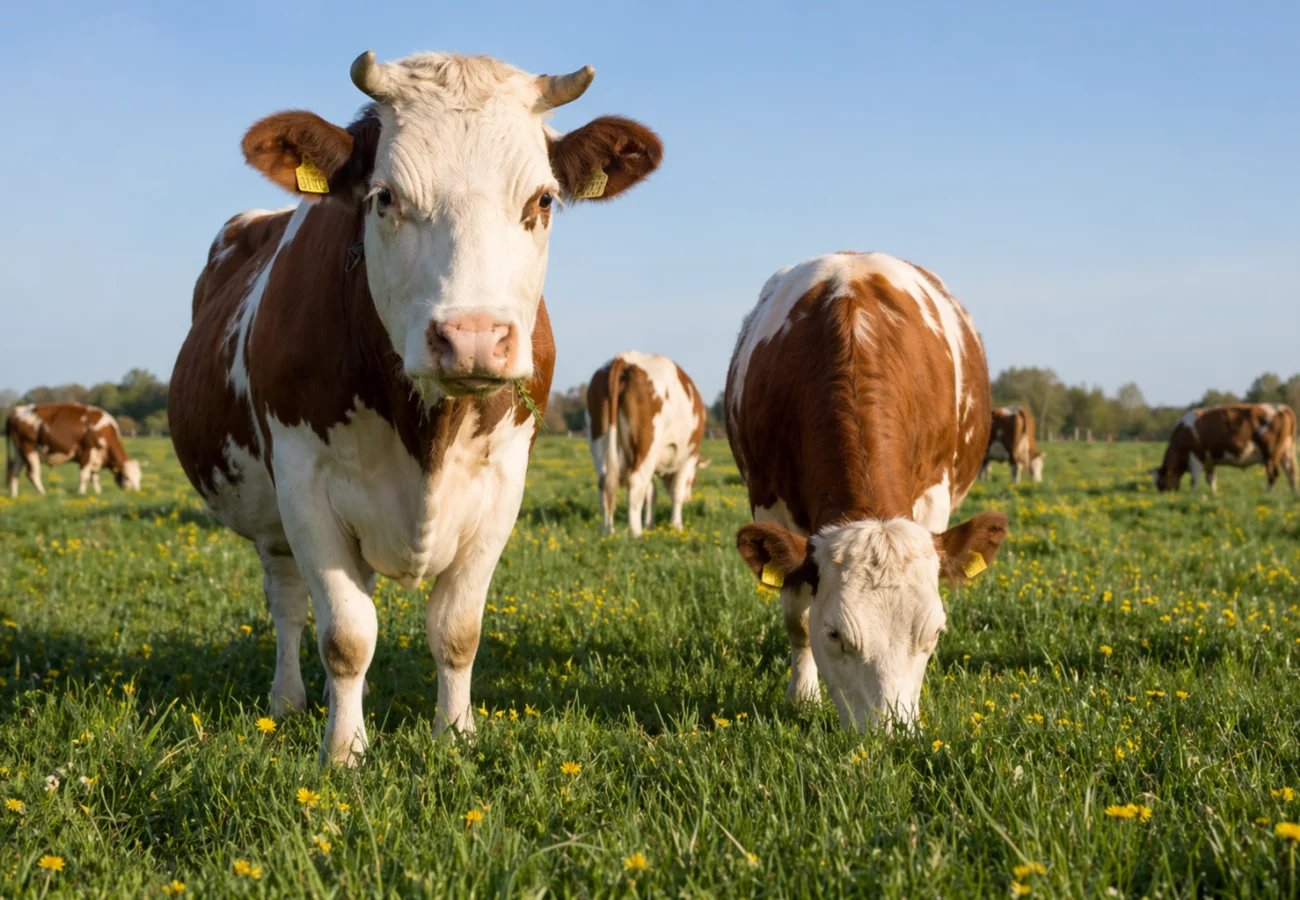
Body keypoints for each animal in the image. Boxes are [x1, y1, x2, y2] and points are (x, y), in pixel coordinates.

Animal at [6, 402, 143, 497]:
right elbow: (85, 475)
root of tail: (17, 410)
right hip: (29, 449)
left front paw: (98, 492)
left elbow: (95, 476)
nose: (136, 492)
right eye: (127, 477)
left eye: (139, 477)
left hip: (19, 452)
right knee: (32, 473)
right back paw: (43, 492)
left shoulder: (97, 458)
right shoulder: (87, 451)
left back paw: (14, 496)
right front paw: (81, 492)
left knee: (14, 472)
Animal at [167, 50, 662, 765]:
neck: (427, 429)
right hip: (273, 521)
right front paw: (344, 752)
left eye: (542, 200)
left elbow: (457, 629)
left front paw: (455, 735)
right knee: (289, 606)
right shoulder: (304, 485)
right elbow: (345, 636)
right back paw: (288, 702)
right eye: (385, 197)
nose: (473, 337)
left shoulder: (504, 483)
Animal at [585, 352, 709, 536]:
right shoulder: (689, 456)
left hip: (601, 438)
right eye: (692, 481)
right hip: (647, 445)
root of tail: (625, 358)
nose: (690, 498)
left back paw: (608, 531)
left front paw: (650, 524)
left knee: (605, 482)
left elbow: (651, 491)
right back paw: (636, 533)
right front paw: (676, 525)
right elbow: (676, 491)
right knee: (636, 483)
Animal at [725, 252, 1008, 730]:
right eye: (836, 635)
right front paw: (803, 697)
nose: (890, 734)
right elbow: (797, 618)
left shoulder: (934, 495)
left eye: (933, 633)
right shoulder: (768, 499)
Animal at [1151, 403, 1297, 493]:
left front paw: (1191, 494)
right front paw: (1214, 494)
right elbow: (1211, 479)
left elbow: (1195, 479)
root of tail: (1282, 408)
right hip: (1286, 451)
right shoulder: (1209, 460)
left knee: (1273, 474)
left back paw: (1267, 493)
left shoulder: (1196, 457)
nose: (1162, 495)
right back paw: (1293, 493)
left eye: (1161, 483)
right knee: (1291, 471)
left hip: (1271, 454)